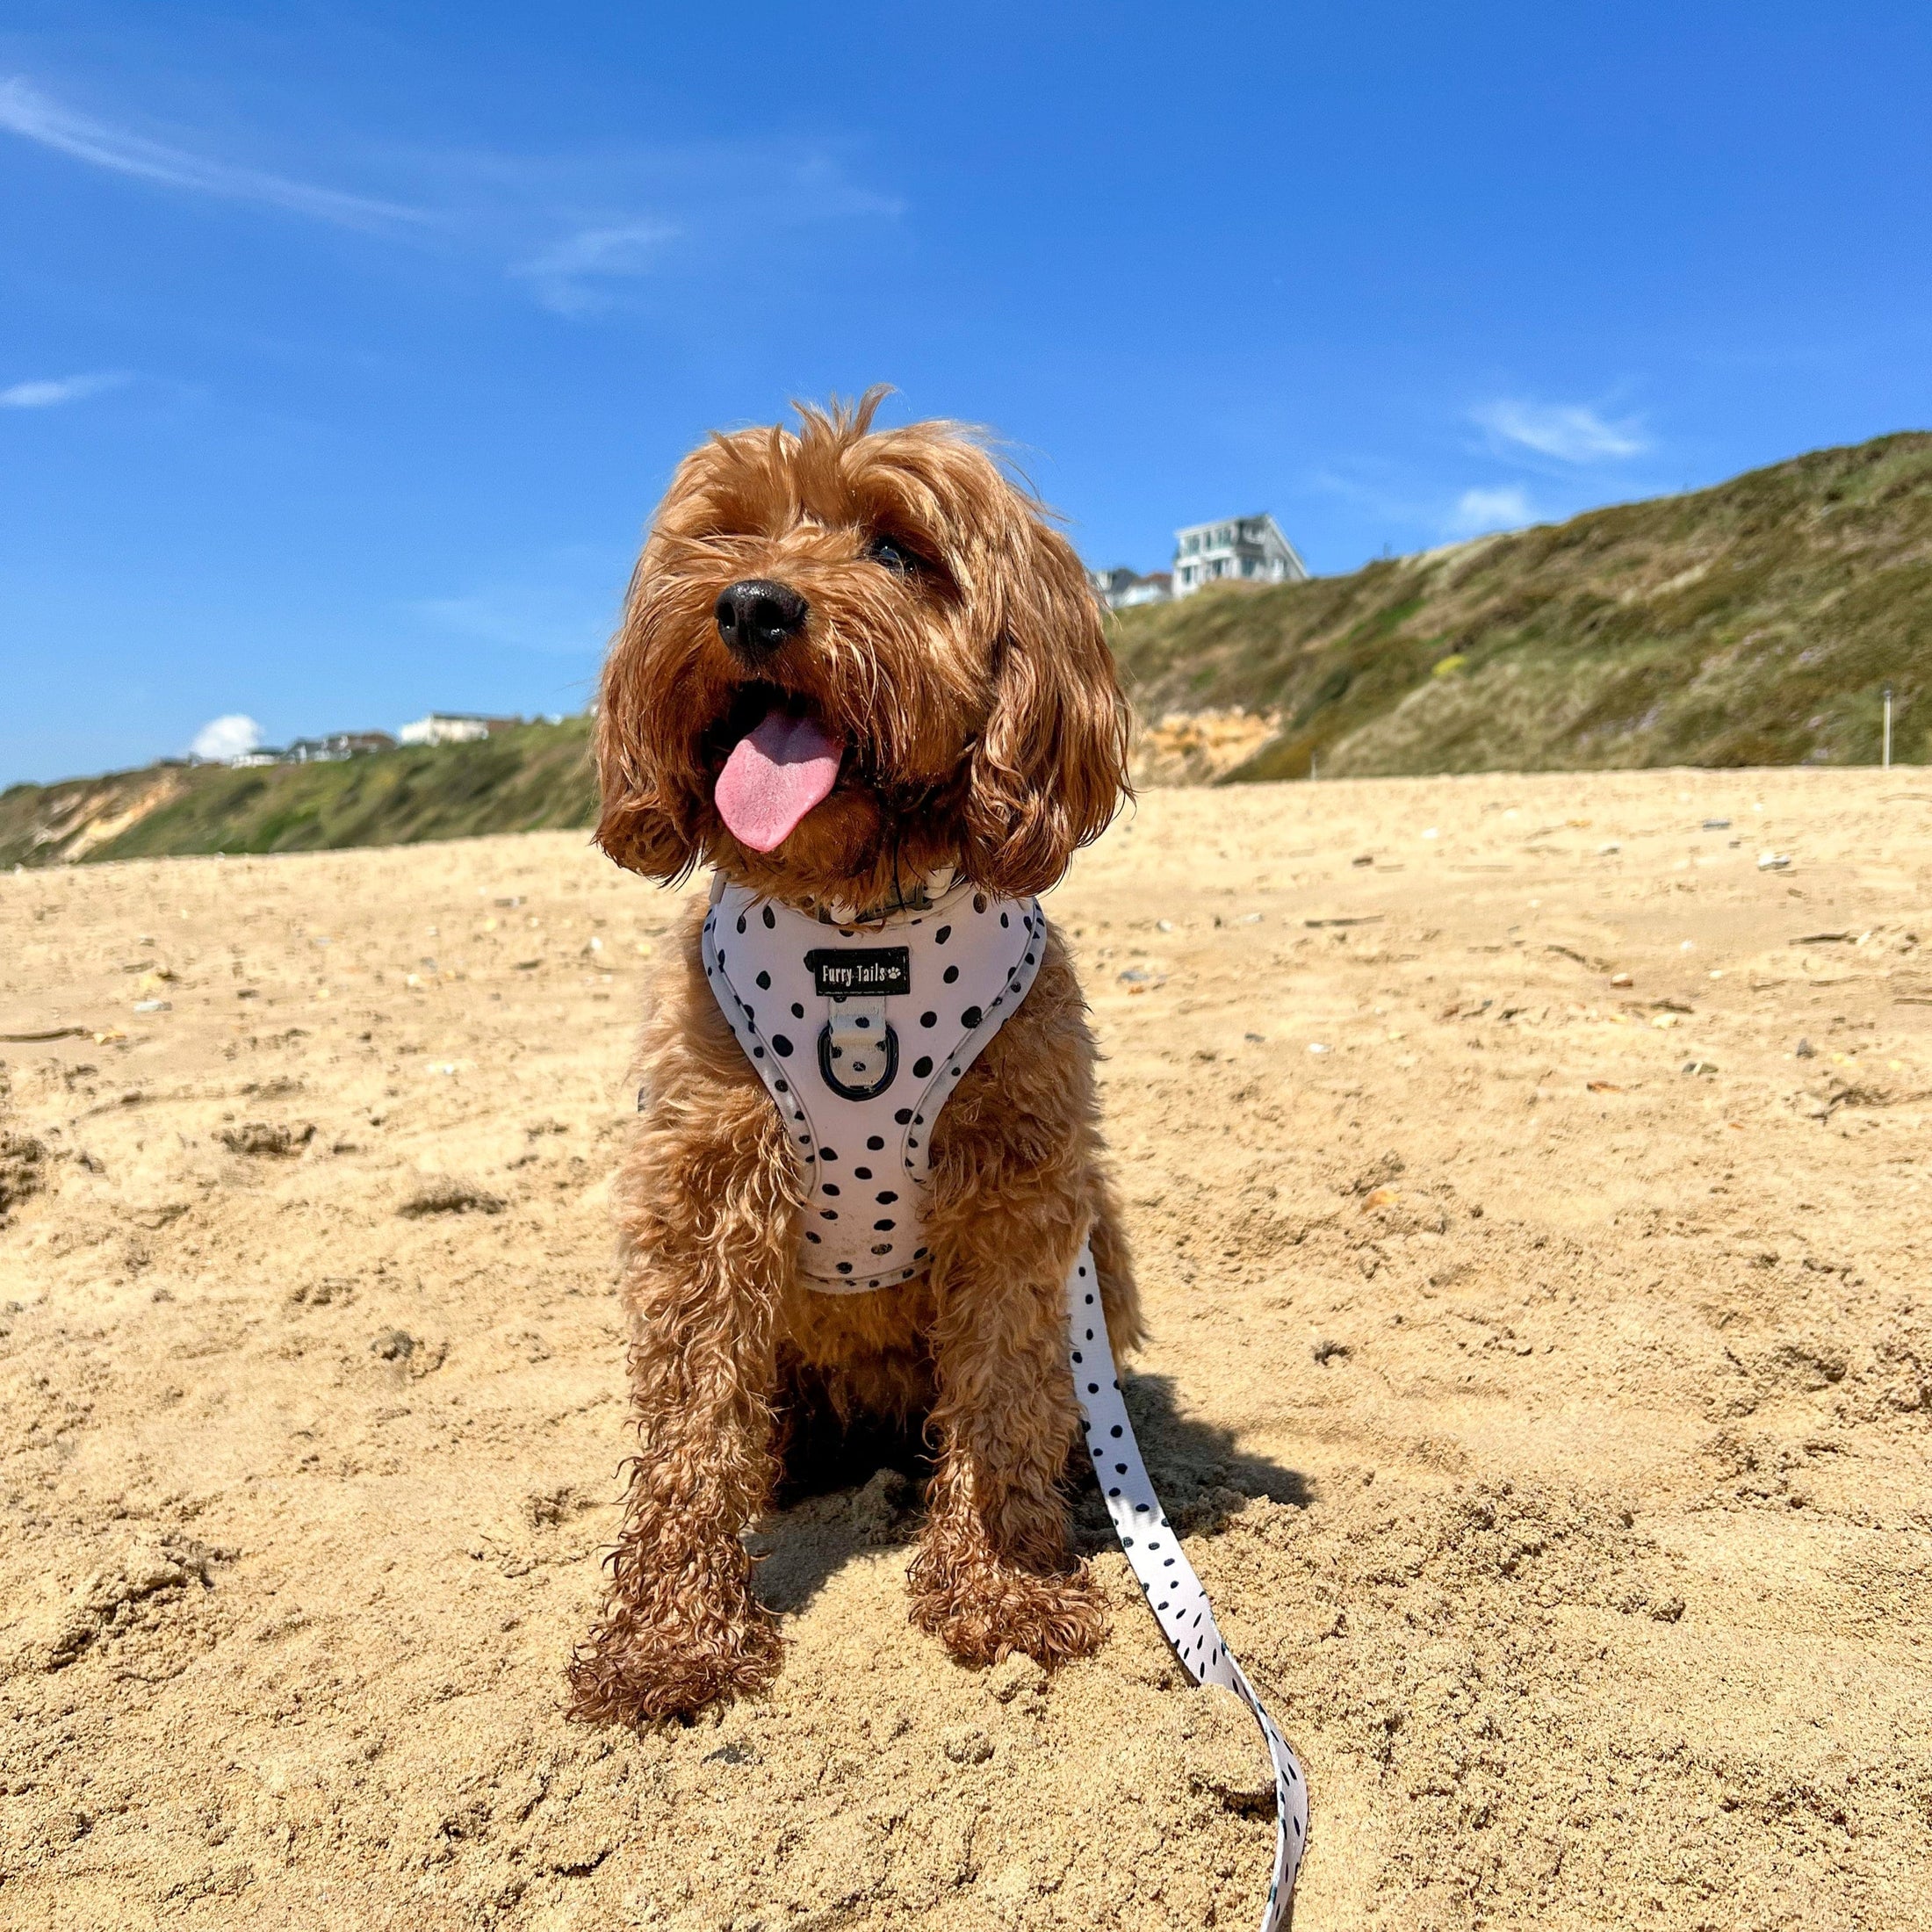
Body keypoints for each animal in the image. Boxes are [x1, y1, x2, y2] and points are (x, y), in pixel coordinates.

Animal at [572, 392, 1143, 1723]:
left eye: (895, 548)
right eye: (726, 536)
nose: (752, 607)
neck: (856, 939)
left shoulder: (1017, 1194)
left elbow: (1002, 1401)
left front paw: (1003, 1586)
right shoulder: (703, 1186)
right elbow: (688, 1432)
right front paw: (668, 1640)